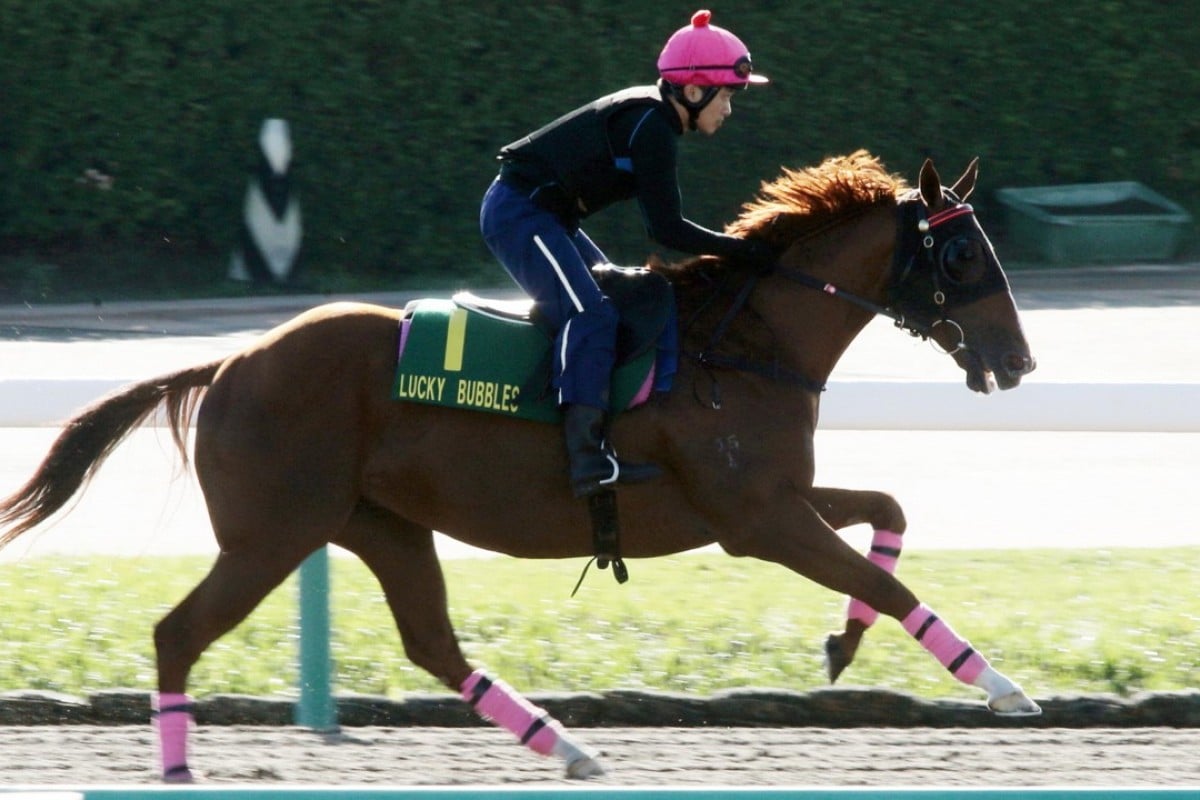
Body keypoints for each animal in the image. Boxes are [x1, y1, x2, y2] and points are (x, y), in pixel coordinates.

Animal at [0, 146, 1041, 777]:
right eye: (963, 259)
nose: (1020, 361)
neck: (743, 340)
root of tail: (228, 362)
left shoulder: (766, 498)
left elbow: (889, 510)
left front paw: (842, 643)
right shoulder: (756, 520)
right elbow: (892, 579)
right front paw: (1000, 686)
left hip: (378, 524)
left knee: (431, 643)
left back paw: (566, 745)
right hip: (273, 534)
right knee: (178, 633)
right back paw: (178, 771)